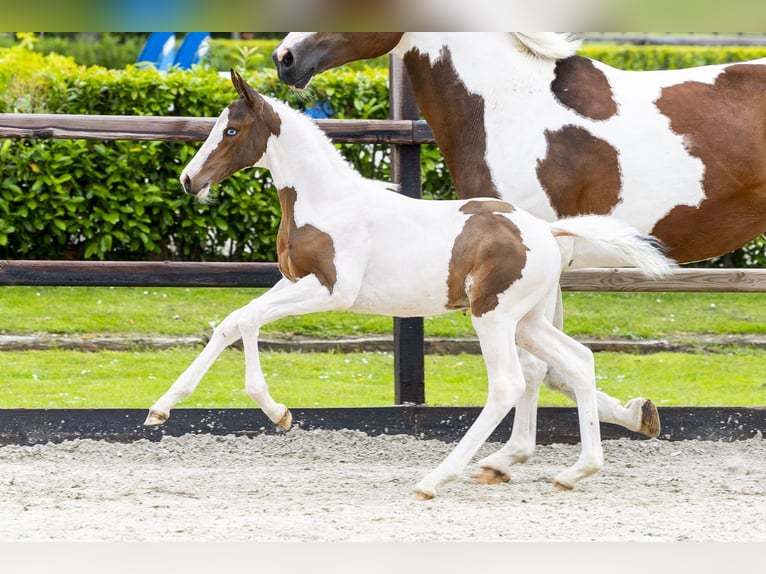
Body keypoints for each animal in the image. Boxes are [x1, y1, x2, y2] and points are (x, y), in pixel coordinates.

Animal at [144, 70, 674, 499]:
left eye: (232, 130)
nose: (188, 180)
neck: (327, 200)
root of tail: (548, 231)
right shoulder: (291, 281)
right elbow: (231, 323)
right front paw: (160, 410)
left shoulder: (332, 291)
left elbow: (250, 320)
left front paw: (276, 411)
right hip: (527, 319)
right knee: (576, 361)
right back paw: (575, 470)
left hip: (493, 315)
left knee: (509, 383)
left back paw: (435, 479)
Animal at [272, 30, 766, 446]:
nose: (285, 58)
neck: (506, 101)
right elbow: (554, 365)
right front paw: (639, 413)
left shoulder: (542, 253)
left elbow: (538, 365)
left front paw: (514, 453)